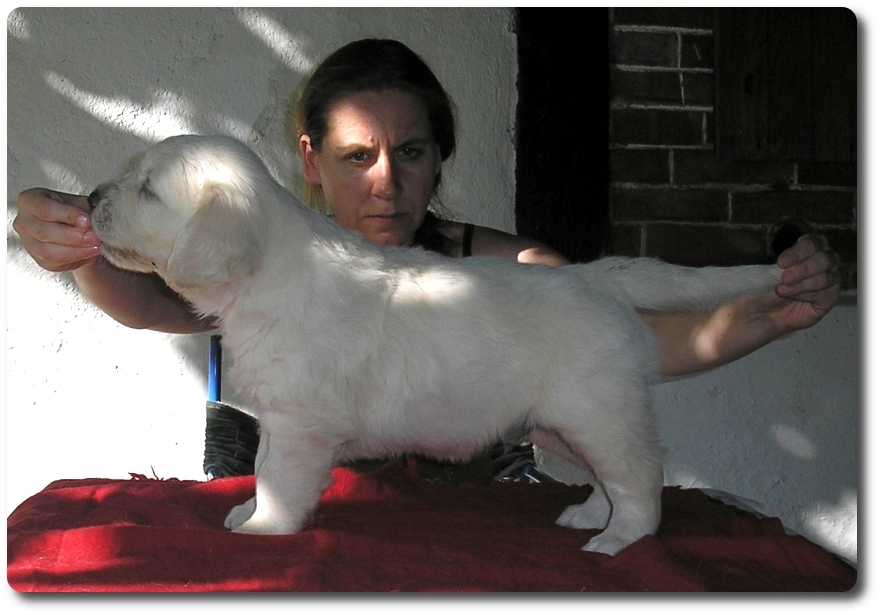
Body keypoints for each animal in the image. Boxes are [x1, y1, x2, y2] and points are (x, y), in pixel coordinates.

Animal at [88, 135, 781, 556]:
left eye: (149, 189)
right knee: (610, 478)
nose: (91, 196)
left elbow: (278, 478)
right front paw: (247, 513)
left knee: (640, 477)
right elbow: (260, 471)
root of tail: (594, 275)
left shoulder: (300, 422)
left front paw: (263, 529)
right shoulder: (284, 418)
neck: (266, 273)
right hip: (564, 423)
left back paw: (617, 539)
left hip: (599, 410)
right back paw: (590, 515)